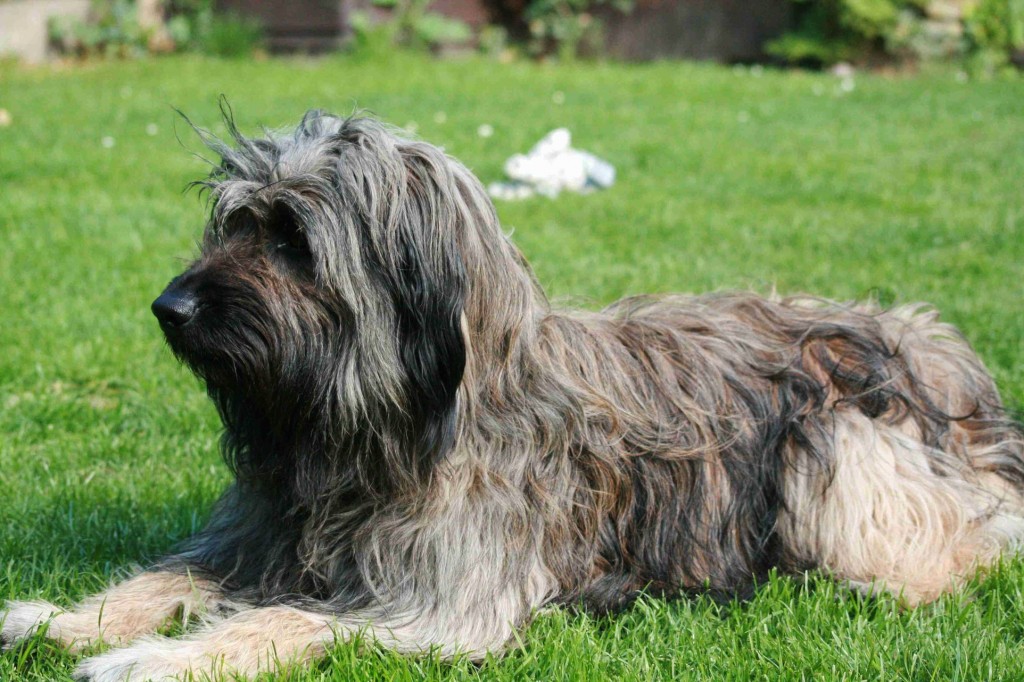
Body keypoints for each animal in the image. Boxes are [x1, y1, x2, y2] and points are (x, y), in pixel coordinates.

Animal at [2, 109, 1024, 675]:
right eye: (232, 224)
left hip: (836, 446)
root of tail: (938, 346)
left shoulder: (444, 604)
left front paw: (154, 660)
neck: (368, 441)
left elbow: (283, 619)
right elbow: (166, 577)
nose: (167, 308)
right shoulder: (259, 541)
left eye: (290, 239)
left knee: (960, 552)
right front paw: (56, 618)